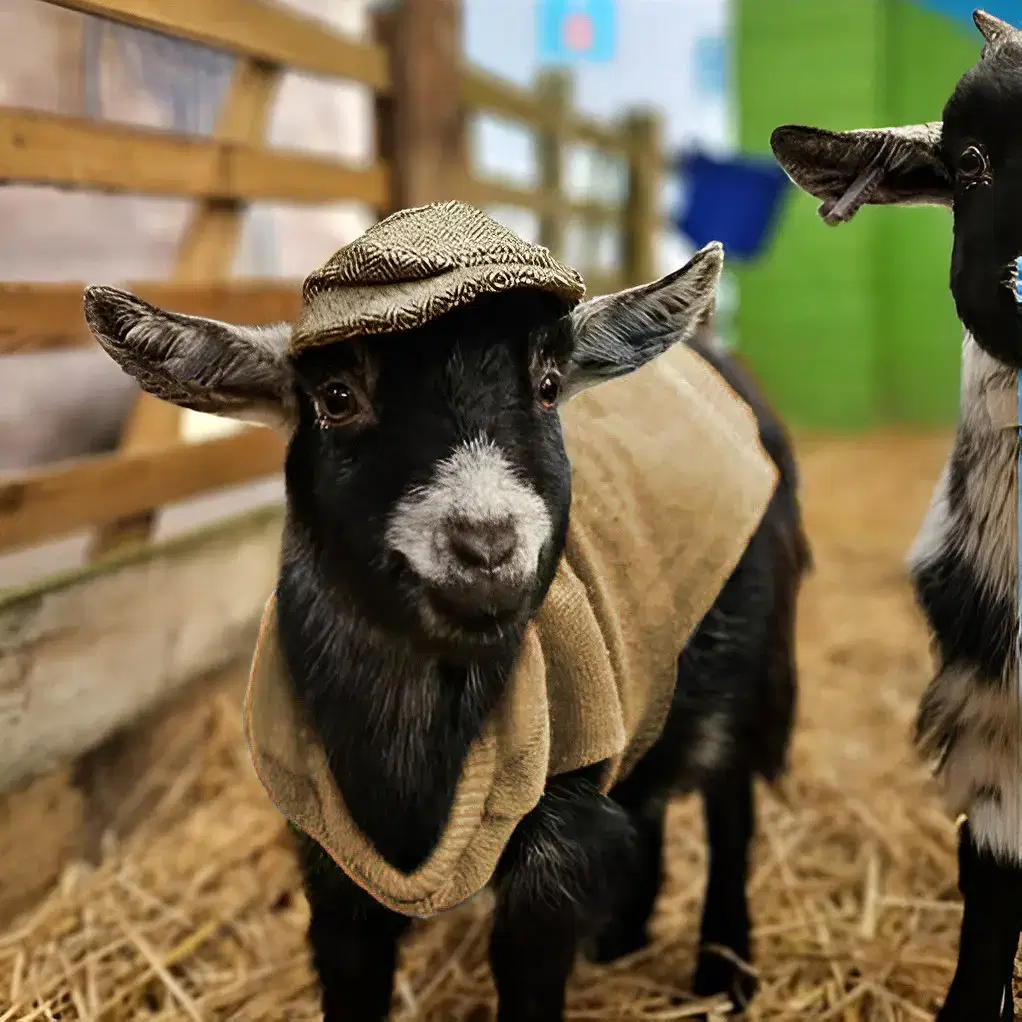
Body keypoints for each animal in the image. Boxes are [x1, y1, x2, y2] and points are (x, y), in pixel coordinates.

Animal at [81, 201, 809, 1021]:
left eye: (549, 384)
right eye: (336, 397)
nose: (487, 545)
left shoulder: (558, 831)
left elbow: (531, 972)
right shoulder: (325, 849)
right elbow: (350, 972)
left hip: (744, 653)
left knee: (729, 804)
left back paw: (724, 971)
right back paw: (625, 938)